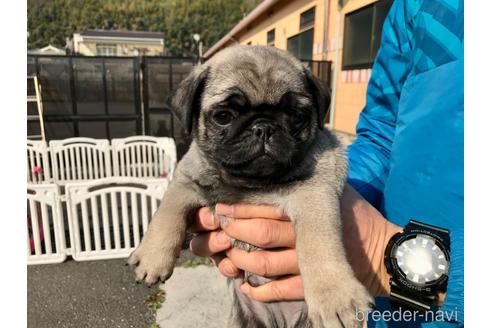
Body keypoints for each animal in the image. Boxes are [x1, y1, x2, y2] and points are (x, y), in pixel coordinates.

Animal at [129, 45, 370, 328]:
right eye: (223, 116)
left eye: (297, 116)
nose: (263, 127)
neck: (250, 183)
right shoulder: (185, 182)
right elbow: (166, 215)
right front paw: (153, 258)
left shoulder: (315, 193)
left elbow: (318, 242)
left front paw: (335, 296)